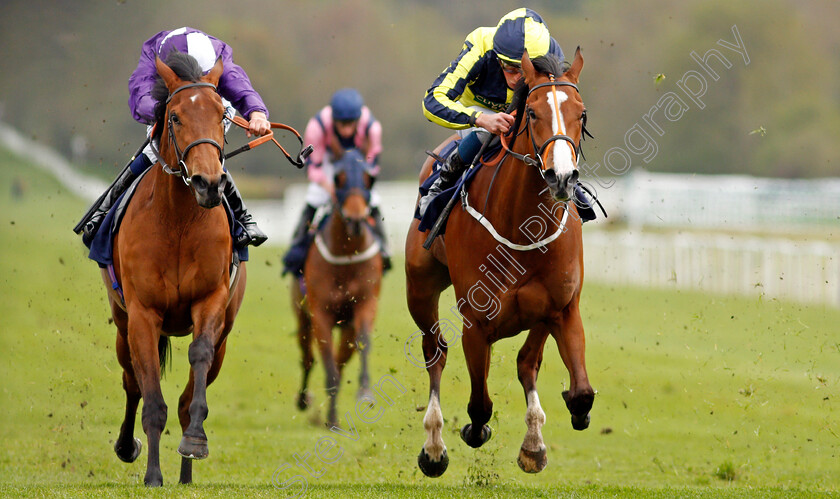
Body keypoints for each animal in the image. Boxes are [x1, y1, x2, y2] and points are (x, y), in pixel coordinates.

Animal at [103, 52, 244, 486]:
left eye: (221, 114)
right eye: (176, 117)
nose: (208, 182)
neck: (180, 220)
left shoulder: (211, 300)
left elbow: (197, 362)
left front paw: (195, 441)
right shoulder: (143, 314)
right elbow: (150, 398)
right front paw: (152, 475)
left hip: (226, 337)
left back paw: (185, 473)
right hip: (122, 324)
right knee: (131, 380)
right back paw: (128, 446)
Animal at [288, 149, 380, 430]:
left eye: (369, 178)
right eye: (338, 178)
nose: (356, 220)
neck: (346, 252)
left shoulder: (365, 305)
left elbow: (363, 343)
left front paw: (365, 392)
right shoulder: (321, 314)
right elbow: (326, 364)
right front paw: (331, 419)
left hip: (346, 326)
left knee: (341, 360)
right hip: (302, 316)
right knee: (307, 358)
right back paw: (303, 399)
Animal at [408, 49, 596, 476]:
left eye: (581, 114)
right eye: (533, 113)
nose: (562, 177)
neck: (522, 227)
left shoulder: (561, 308)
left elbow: (579, 391)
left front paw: (542, 439)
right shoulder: (475, 324)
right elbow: (479, 406)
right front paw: (471, 433)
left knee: (527, 362)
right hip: (420, 288)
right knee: (435, 351)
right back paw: (433, 446)